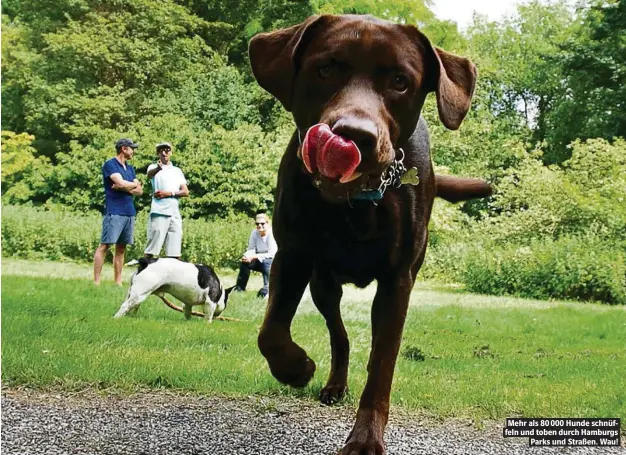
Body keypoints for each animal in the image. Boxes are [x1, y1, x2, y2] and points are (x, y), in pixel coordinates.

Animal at [247, 15, 488, 455]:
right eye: (325, 68)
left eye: (400, 81)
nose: (354, 134)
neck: (353, 202)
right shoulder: (292, 255)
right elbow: (271, 331)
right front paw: (296, 367)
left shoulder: (397, 283)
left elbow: (381, 367)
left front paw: (365, 439)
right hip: (324, 285)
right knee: (339, 335)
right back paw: (332, 383)